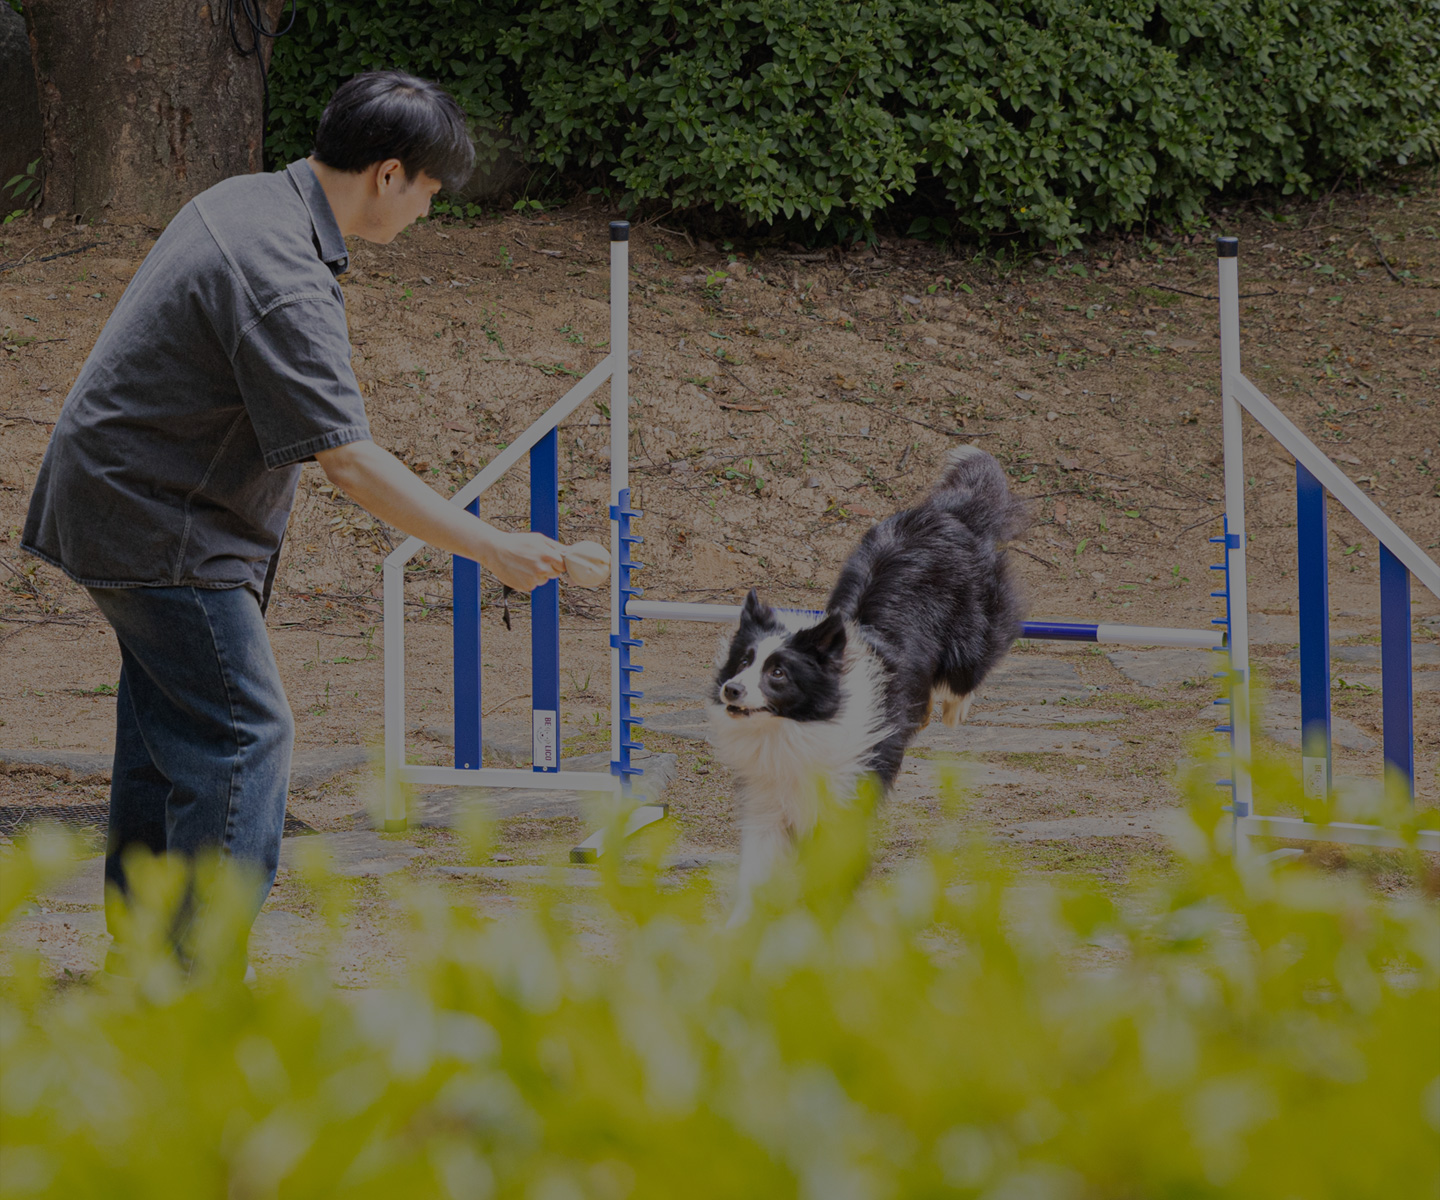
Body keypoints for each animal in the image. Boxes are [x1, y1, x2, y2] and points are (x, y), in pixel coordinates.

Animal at [708, 443, 1025, 921]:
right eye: (744, 660)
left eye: (777, 672)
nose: (732, 690)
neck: (795, 730)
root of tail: (947, 512)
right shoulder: (767, 802)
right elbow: (755, 874)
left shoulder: (844, 799)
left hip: (971, 640)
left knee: (970, 669)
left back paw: (953, 709)